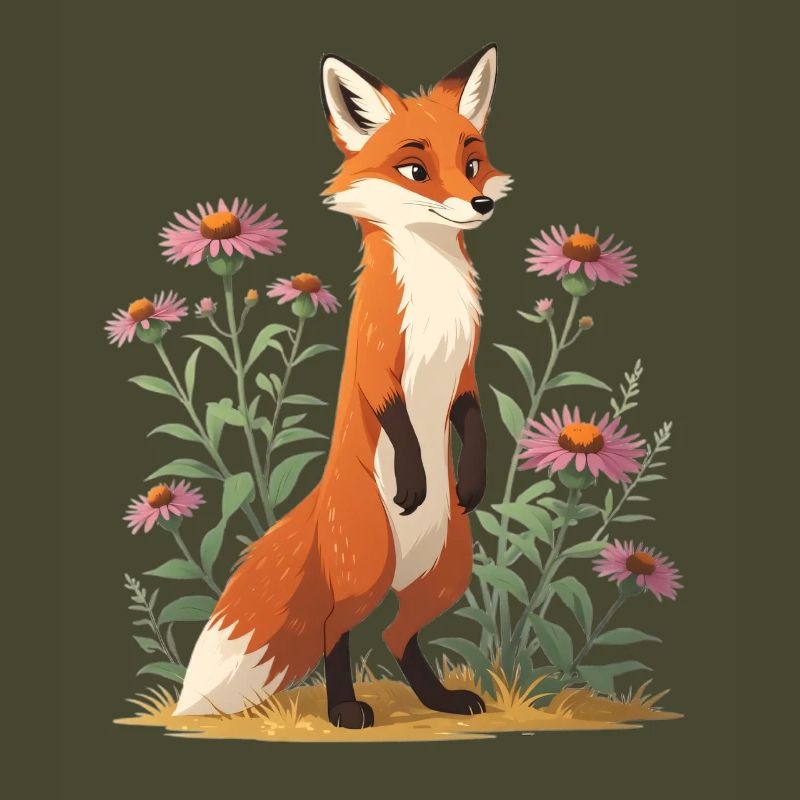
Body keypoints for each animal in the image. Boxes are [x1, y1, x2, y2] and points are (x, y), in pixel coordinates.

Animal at [175, 44, 512, 728]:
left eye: (472, 163)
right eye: (415, 169)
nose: (480, 204)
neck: (434, 295)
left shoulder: (465, 370)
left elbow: (472, 418)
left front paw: (472, 479)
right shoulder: (378, 364)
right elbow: (398, 418)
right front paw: (413, 477)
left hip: (445, 576)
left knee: (396, 636)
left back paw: (440, 699)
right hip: (369, 567)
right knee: (337, 629)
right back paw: (344, 709)